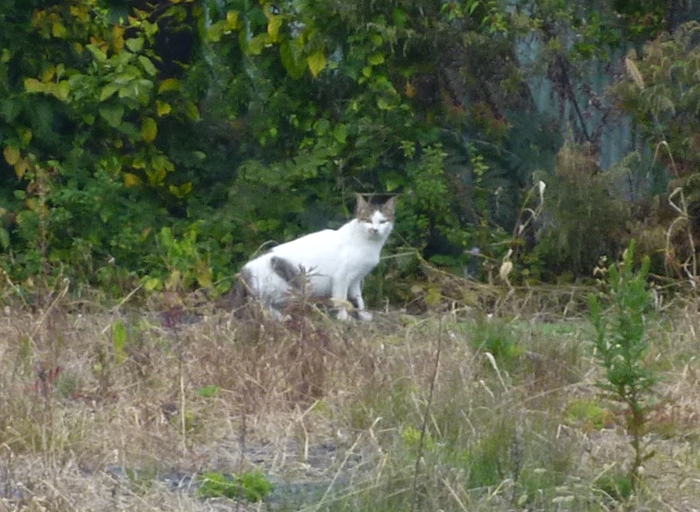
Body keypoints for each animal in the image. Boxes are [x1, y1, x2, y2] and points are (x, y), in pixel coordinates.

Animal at [238, 196, 396, 320]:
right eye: (368, 220)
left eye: (383, 222)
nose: (374, 230)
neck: (367, 244)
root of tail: (244, 269)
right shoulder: (341, 277)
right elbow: (341, 299)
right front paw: (344, 317)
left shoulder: (356, 278)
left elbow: (358, 298)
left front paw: (362, 315)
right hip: (285, 288)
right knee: (260, 307)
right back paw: (281, 318)